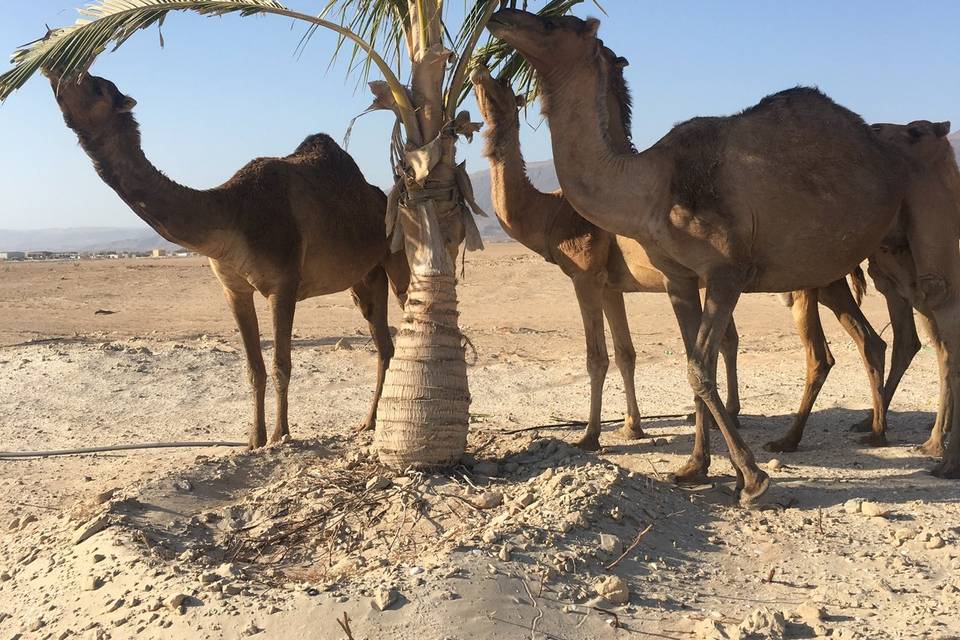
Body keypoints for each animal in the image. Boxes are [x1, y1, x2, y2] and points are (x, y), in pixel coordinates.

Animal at [48, 71, 410, 450]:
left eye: (98, 87)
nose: (55, 70)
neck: (233, 212)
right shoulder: (233, 289)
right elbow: (254, 369)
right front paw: (254, 439)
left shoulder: (283, 285)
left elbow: (281, 364)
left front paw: (281, 436)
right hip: (365, 278)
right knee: (384, 345)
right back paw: (368, 422)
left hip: (398, 253)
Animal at [472, 61, 744, 450]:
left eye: (504, 87)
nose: (480, 68)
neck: (549, 214)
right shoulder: (611, 286)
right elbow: (625, 353)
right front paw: (632, 427)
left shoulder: (584, 276)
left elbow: (596, 358)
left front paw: (589, 434)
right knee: (728, 339)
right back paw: (726, 414)